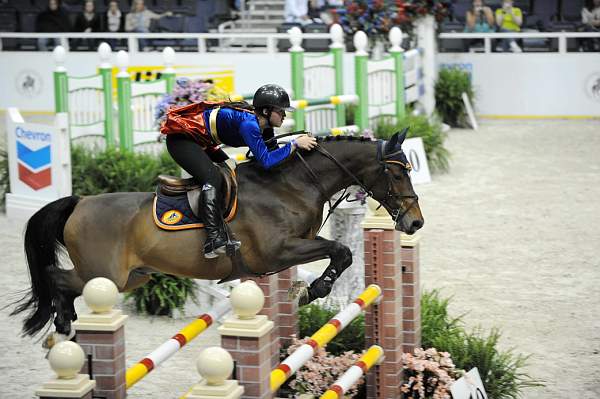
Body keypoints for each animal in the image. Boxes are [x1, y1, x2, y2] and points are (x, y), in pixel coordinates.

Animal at [9, 131, 422, 338]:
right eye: (397, 172)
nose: (415, 223)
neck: (291, 185)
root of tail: (79, 202)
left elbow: (340, 253)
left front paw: (306, 291)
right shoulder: (276, 252)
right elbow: (340, 251)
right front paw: (310, 291)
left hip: (130, 277)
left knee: (62, 280)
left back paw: (66, 325)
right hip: (105, 276)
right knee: (57, 278)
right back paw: (64, 325)